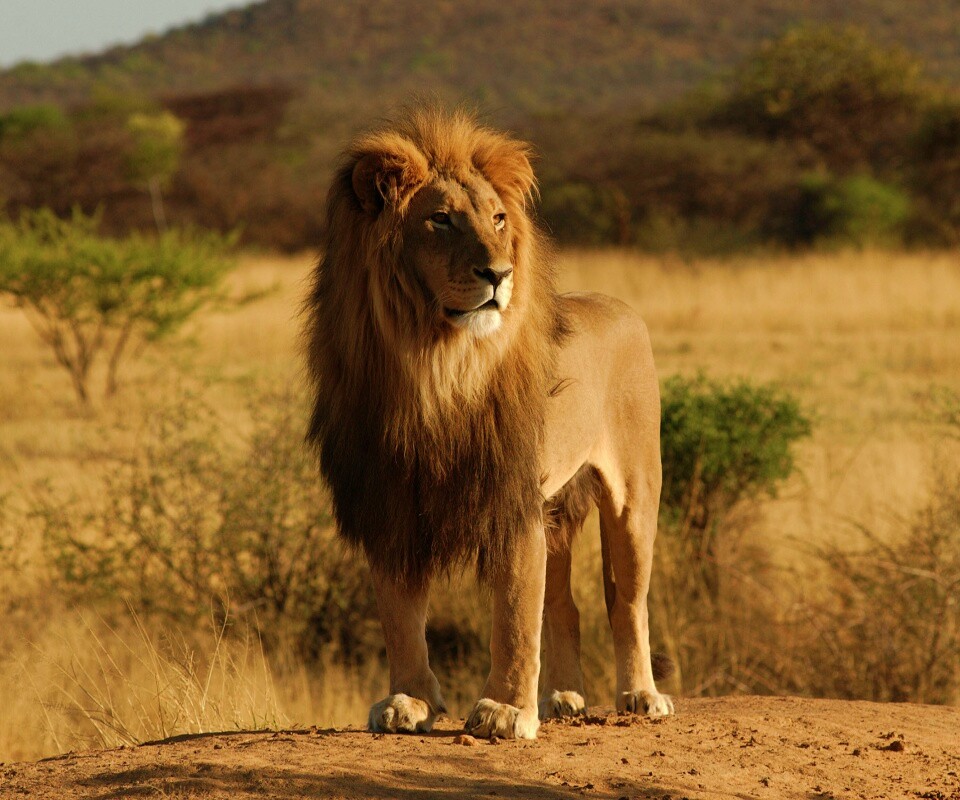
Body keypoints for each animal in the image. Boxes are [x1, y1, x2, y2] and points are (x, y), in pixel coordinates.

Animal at [308, 109, 676, 740]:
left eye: (498, 219)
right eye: (440, 220)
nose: (499, 273)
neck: (434, 366)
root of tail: (621, 306)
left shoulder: (510, 498)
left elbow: (513, 614)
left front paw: (504, 711)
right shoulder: (391, 501)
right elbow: (400, 614)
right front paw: (409, 701)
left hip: (633, 496)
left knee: (626, 600)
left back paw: (641, 695)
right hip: (556, 511)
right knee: (565, 606)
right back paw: (561, 698)